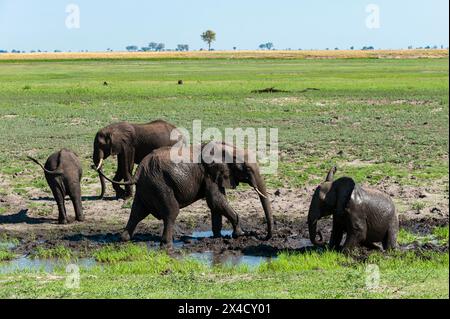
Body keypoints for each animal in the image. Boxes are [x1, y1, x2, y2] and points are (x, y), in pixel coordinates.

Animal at [97, 142, 274, 250]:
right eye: (247, 169)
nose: (264, 237)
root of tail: (139, 170)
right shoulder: (209, 174)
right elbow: (216, 201)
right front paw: (239, 234)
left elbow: (215, 205)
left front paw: (217, 236)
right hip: (160, 184)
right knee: (171, 212)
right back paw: (167, 245)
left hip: (146, 187)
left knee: (136, 212)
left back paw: (124, 239)